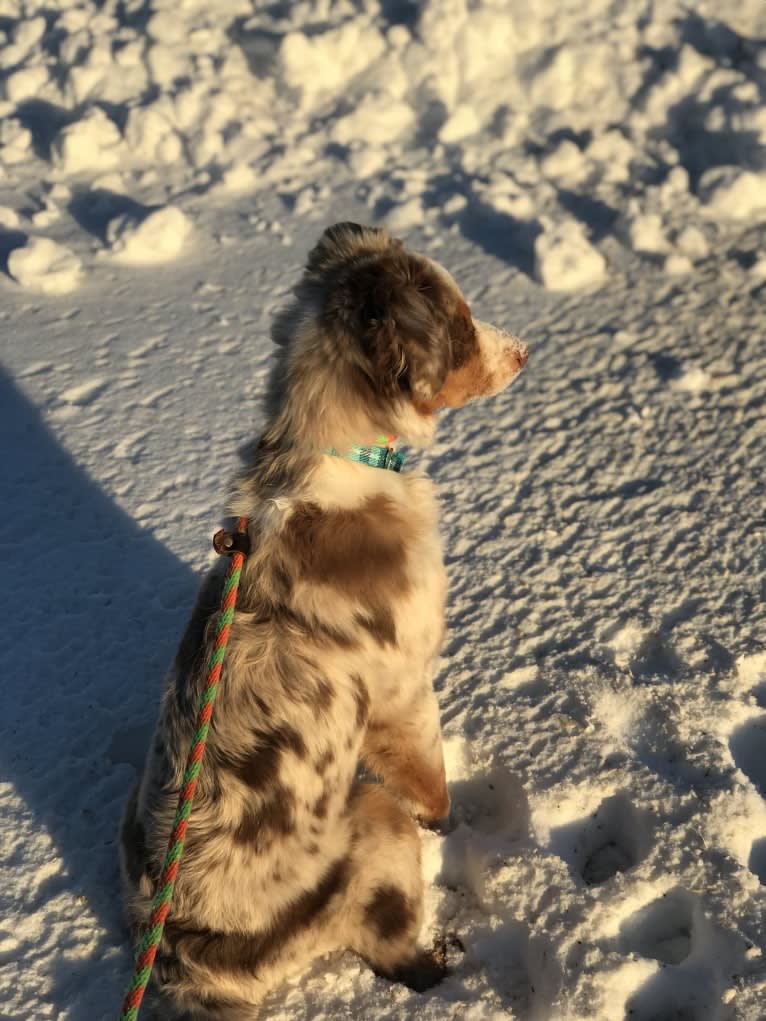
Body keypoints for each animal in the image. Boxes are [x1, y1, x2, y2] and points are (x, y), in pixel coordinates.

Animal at [120, 219, 531, 1016]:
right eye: (463, 327)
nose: (526, 350)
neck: (339, 452)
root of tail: (192, 959)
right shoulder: (403, 690)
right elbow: (433, 782)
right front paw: (457, 825)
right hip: (373, 823)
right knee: (396, 952)